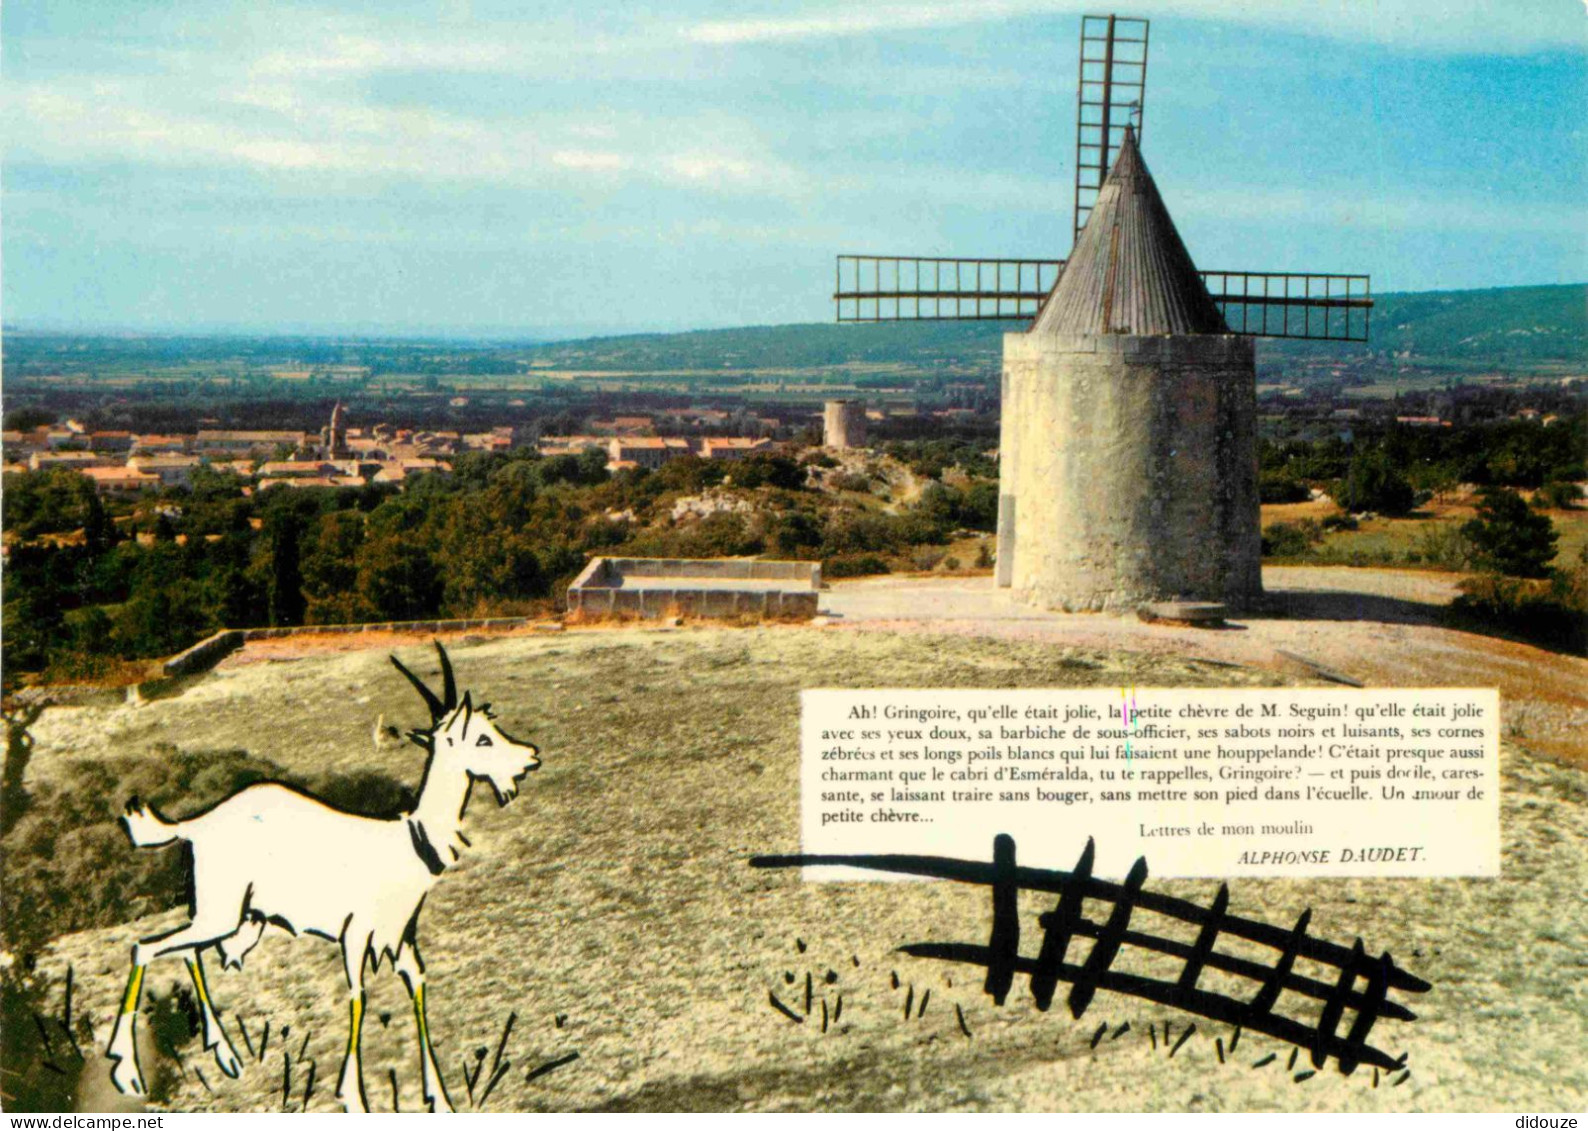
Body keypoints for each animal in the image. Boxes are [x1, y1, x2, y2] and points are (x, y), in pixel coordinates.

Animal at [105, 644, 543, 1111]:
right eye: (480, 738)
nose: (531, 755)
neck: (410, 838)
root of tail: (195, 824)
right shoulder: (356, 936)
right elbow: (358, 998)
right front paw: (354, 1097)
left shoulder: (402, 939)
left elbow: (419, 987)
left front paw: (440, 1099)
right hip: (222, 915)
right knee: (146, 948)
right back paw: (128, 1070)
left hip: (235, 918)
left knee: (188, 951)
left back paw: (225, 1054)